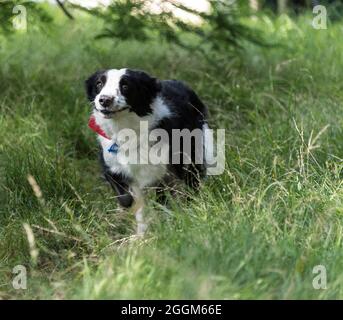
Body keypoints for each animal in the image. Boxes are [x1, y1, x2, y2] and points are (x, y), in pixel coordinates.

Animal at [84, 69, 211, 234]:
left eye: (125, 85)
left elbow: (162, 197)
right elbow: (127, 199)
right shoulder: (111, 165)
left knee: (193, 179)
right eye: (99, 84)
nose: (104, 100)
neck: (125, 130)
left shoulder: (163, 170)